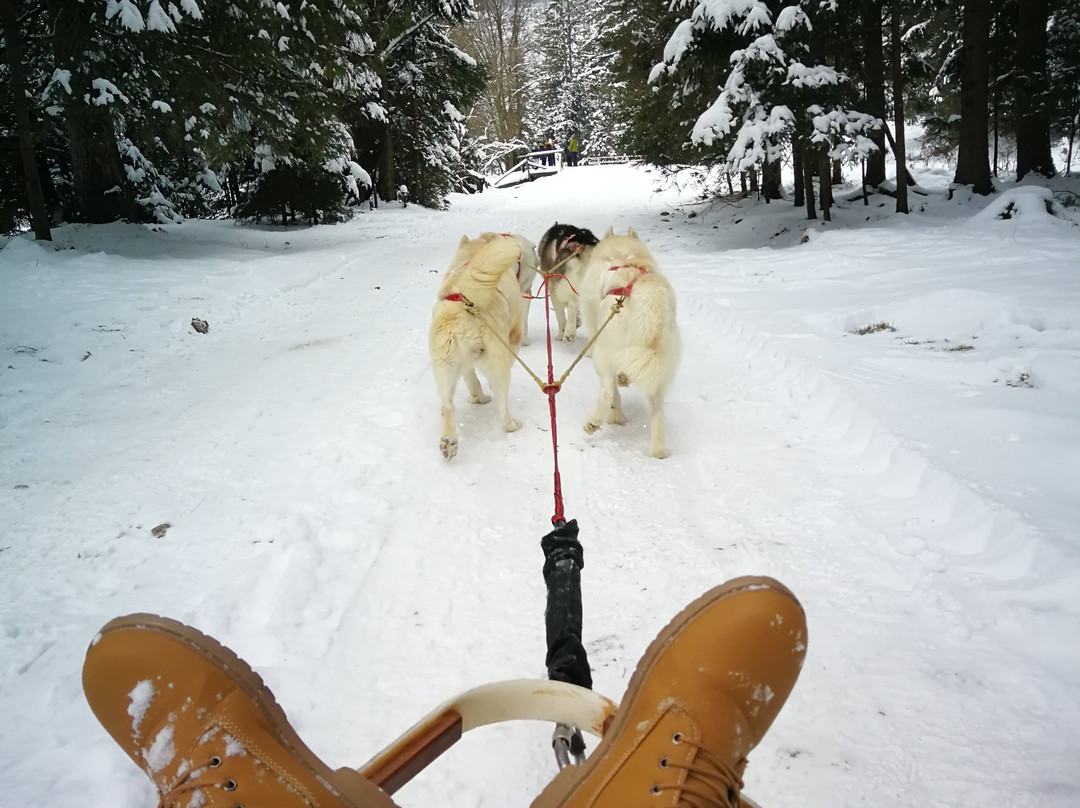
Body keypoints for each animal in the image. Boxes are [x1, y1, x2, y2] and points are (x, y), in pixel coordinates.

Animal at [427, 233, 524, 460]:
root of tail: (465, 301)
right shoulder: (514, 337)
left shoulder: (466, 364)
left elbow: (473, 381)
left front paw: (478, 397)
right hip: (498, 363)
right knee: (502, 407)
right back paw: (511, 424)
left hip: (445, 368)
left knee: (447, 406)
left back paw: (449, 442)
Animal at [583, 226, 673, 458]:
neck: (624, 256)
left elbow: (613, 393)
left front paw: (615, 415)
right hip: (657, 372)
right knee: (658, 413)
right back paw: (659, 451)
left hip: (603, 356)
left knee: (607, 391)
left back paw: (594, 421)